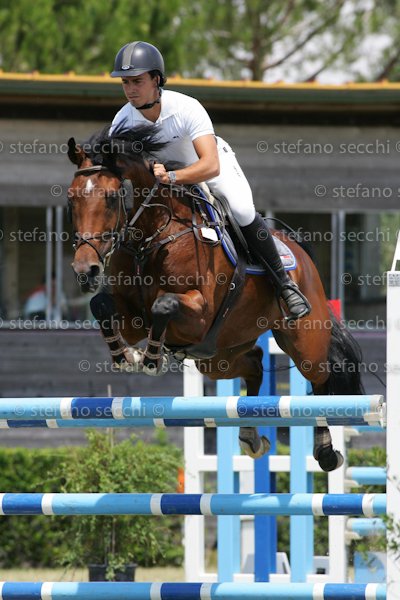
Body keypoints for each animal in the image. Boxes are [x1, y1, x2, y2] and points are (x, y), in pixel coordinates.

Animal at [66, 124, 364, 472]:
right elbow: (101, 305)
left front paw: (151, 359)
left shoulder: (198, 314)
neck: (152, 235)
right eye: (71, 198)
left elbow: (163, 305)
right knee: (254, 364)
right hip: (217, 356)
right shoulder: (133, 317)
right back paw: (250, 437)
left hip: (304, 341)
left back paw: (326, 452)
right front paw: (127, 356)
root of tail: (298, 250)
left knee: (320, 379)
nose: (86, 270)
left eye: (112, 198)